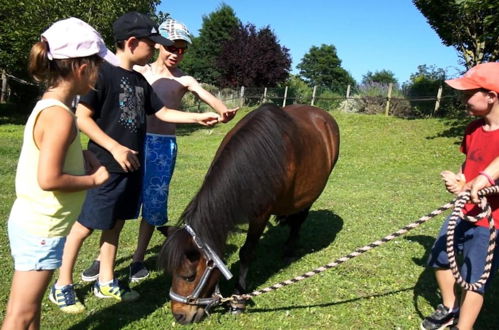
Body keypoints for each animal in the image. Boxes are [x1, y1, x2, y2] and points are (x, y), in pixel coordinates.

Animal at [158, 103, 342, 322]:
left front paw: (238, 298)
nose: (179, 316)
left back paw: (289, 250)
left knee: (299, 219)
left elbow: (246, 252)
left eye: (189, 276)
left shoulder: (260, 215)